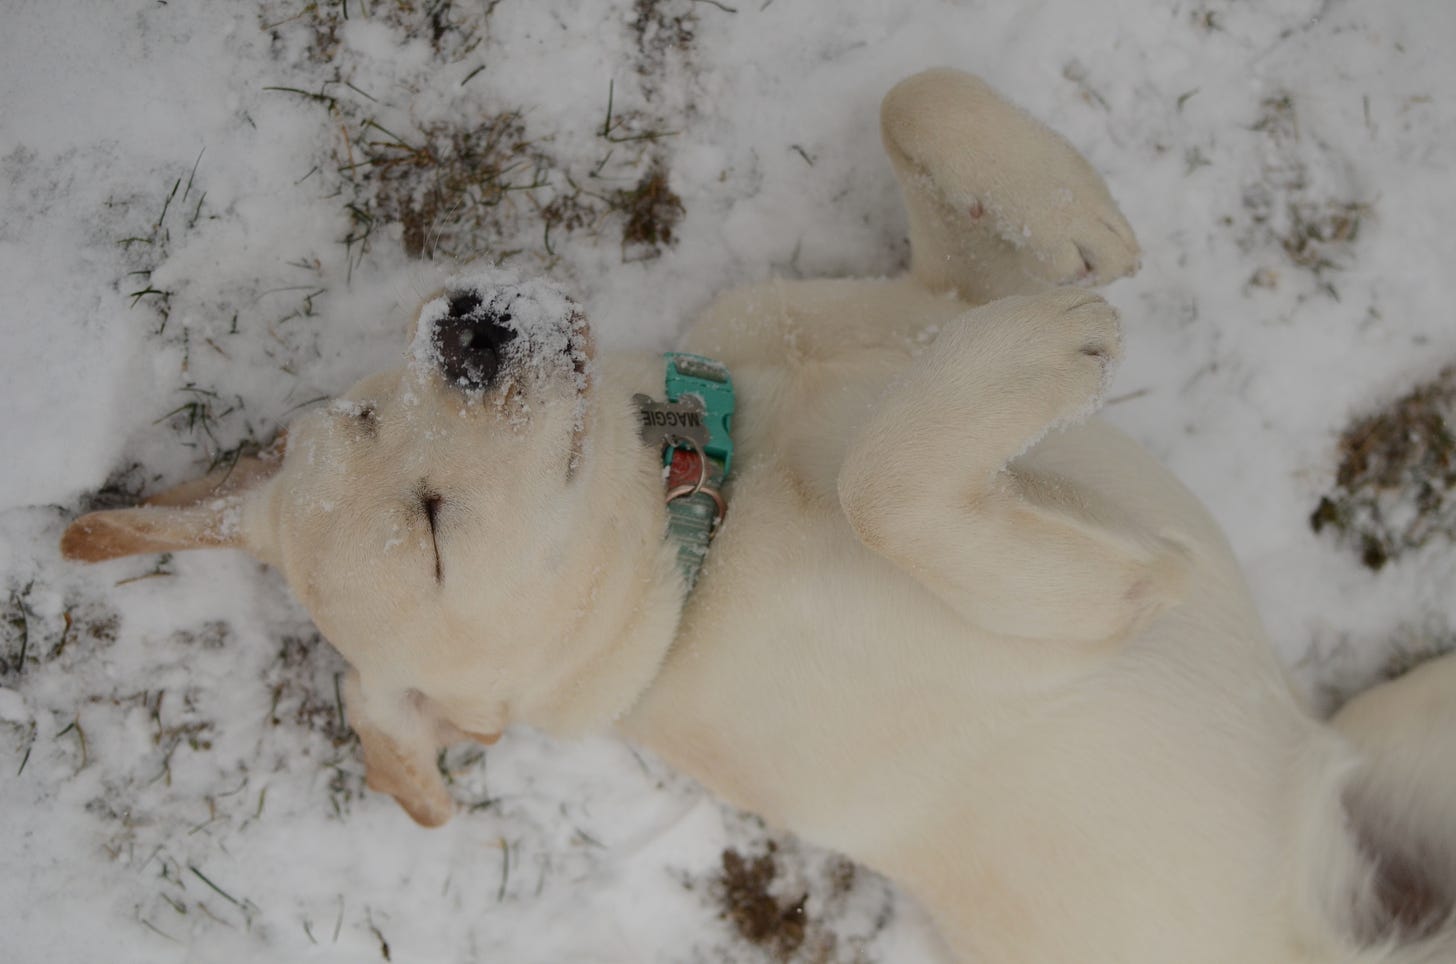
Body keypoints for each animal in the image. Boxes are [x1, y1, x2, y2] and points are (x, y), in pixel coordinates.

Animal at [59, 69, 1456, 964]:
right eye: (437, 527)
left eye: (358, 412)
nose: (463, 327)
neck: (711, 517)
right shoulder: (1085, 596)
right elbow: (889, 486)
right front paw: (1047, 342)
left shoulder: (927, 296)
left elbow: (916, 94)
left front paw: (1071, 216)